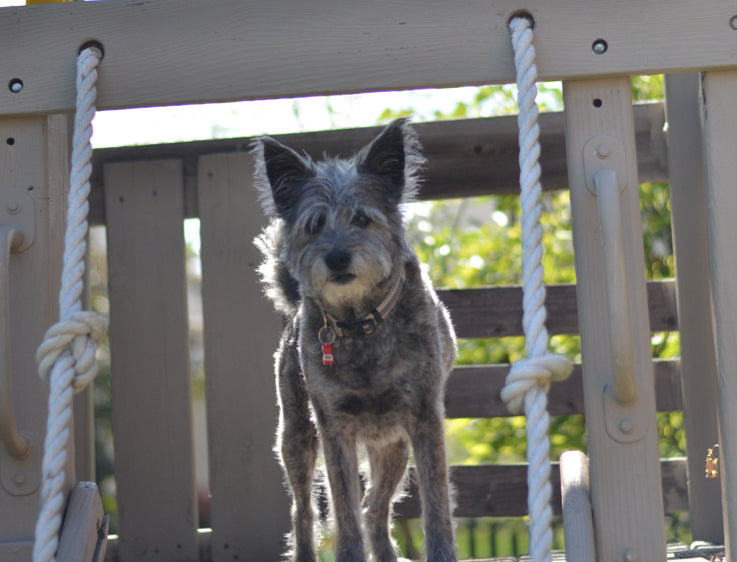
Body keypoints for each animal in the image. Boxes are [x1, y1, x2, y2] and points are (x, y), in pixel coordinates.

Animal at [256, 118, 458, 560]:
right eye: (315, 224)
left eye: (362, 218)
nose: (336, 258)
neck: (360, 323)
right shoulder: (334, 428)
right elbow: (342, 510)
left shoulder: (424, 419)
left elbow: (436, 504)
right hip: (296, 438)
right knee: (305, 511)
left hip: (393, 447)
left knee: (375, 508)